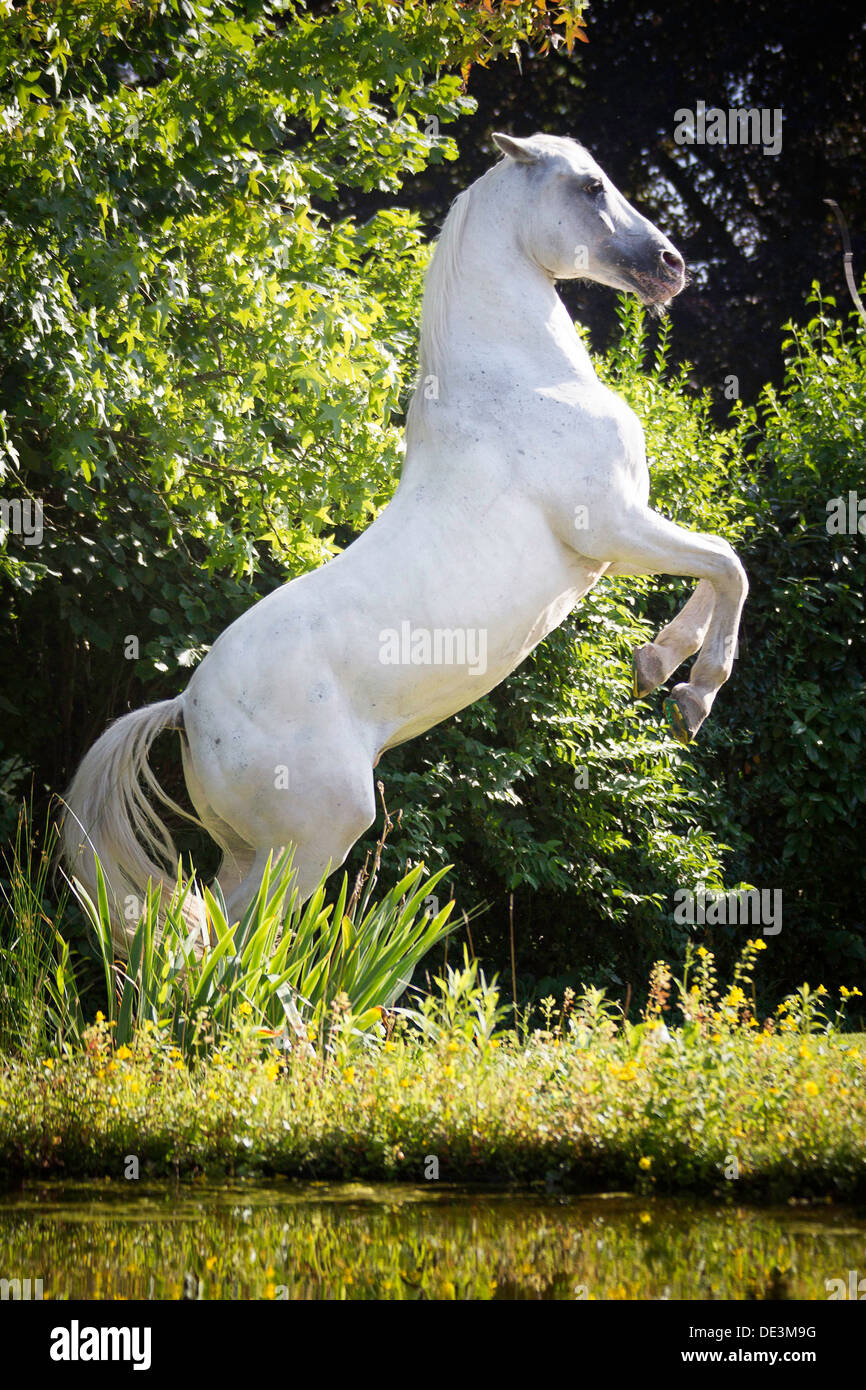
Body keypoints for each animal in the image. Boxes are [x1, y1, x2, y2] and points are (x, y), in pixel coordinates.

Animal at [64, 135, 750, 950]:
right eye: (590, 187)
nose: (671, 266)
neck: (523, 385)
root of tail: (187, 710)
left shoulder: (617, 544)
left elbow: (716, 568)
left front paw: (654, 669)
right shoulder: (614, 525)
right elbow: (730, 564)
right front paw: (694, 696)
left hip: (249, 852)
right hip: (310, 843)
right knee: (229, 945)